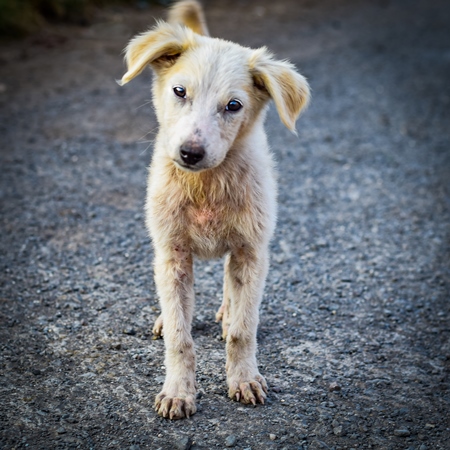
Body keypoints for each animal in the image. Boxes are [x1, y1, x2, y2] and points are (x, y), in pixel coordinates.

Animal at [119, 0, 310, 422]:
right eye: (179, 91)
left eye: (233, 105)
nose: (190, 152)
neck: (205, 185)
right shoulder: (173, 253)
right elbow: (180, 336)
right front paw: (178, 391)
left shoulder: (251, 252)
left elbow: (243, 330)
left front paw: (244, 379)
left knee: (231, 290)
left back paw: (227, 312)